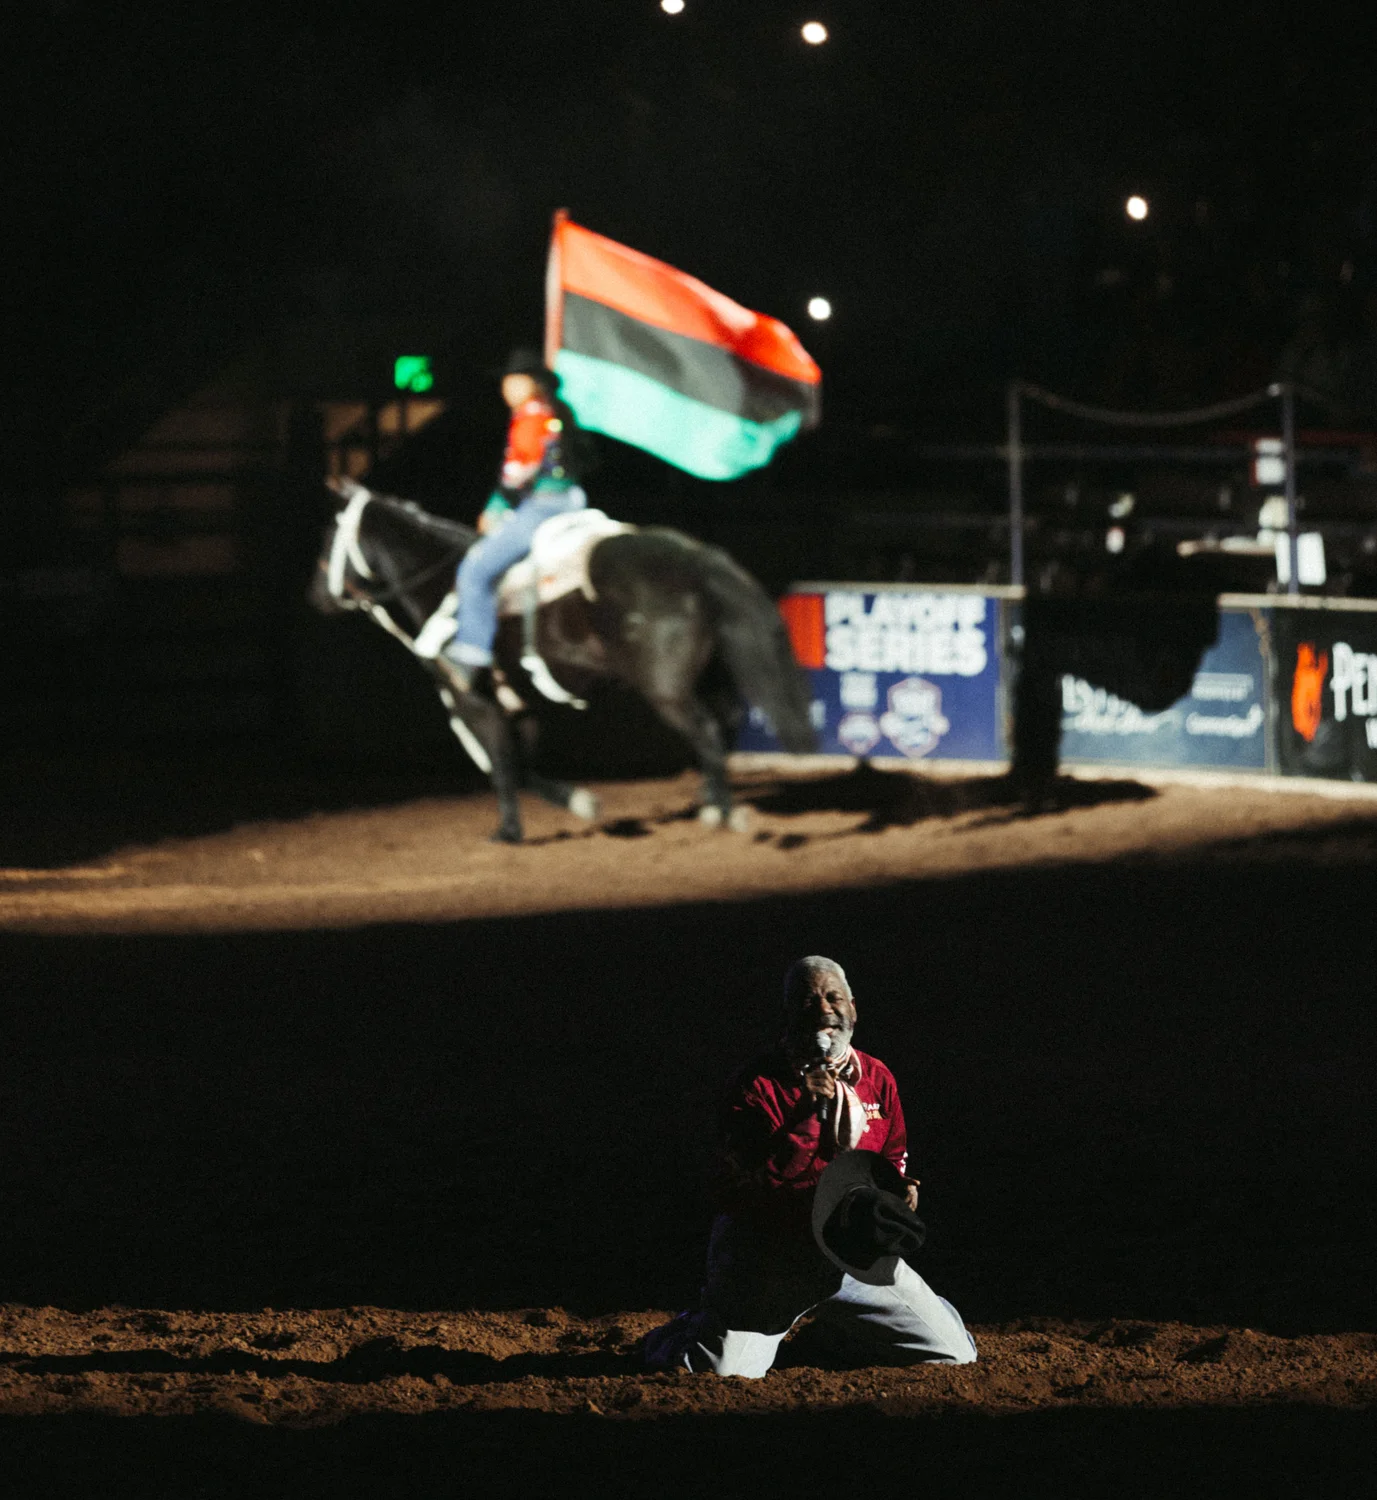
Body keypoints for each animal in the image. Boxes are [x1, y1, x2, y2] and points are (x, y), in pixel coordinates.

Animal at [307, 477, 816, 840]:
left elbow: (505, 764)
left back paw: (723, 816)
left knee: (708, 732)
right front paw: (580, 803)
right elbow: (521, 764)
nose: (316, 598)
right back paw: (711, 803)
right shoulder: (520, 703)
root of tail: (693, 558)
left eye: (329, 534)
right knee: (724, 725)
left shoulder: (474, 701)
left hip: (666, 690)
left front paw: (510, 830)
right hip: (705, 678)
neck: (443, 582)